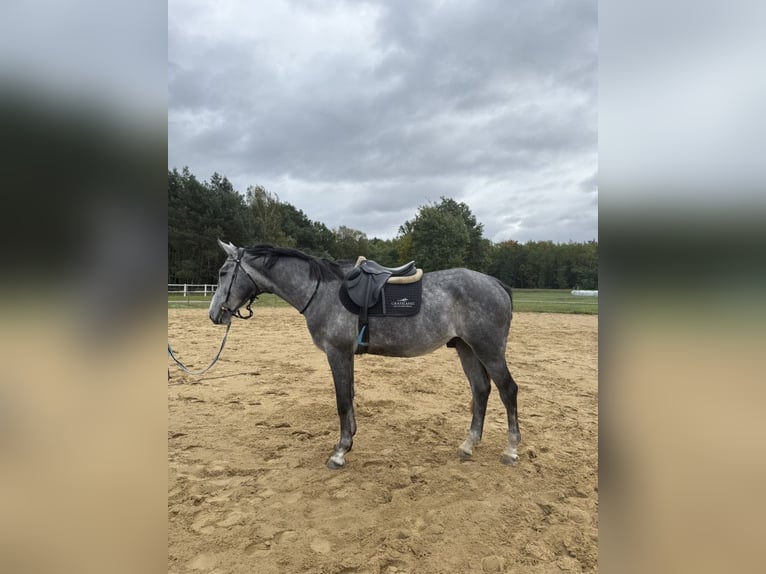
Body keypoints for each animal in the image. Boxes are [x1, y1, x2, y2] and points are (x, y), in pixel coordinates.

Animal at [209, 240, 521, 469]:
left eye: (223, 273)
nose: (214, 314)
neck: (321, 291)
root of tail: (496, 284)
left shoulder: (337, 353)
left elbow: (342, 401)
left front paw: (339, 452)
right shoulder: (345, 355)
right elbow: (349, 397)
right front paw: (349, 442)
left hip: (488, 349)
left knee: (507, 390)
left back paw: (511, 450)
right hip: (466, 348)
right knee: (480, 389)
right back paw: (468, 445)